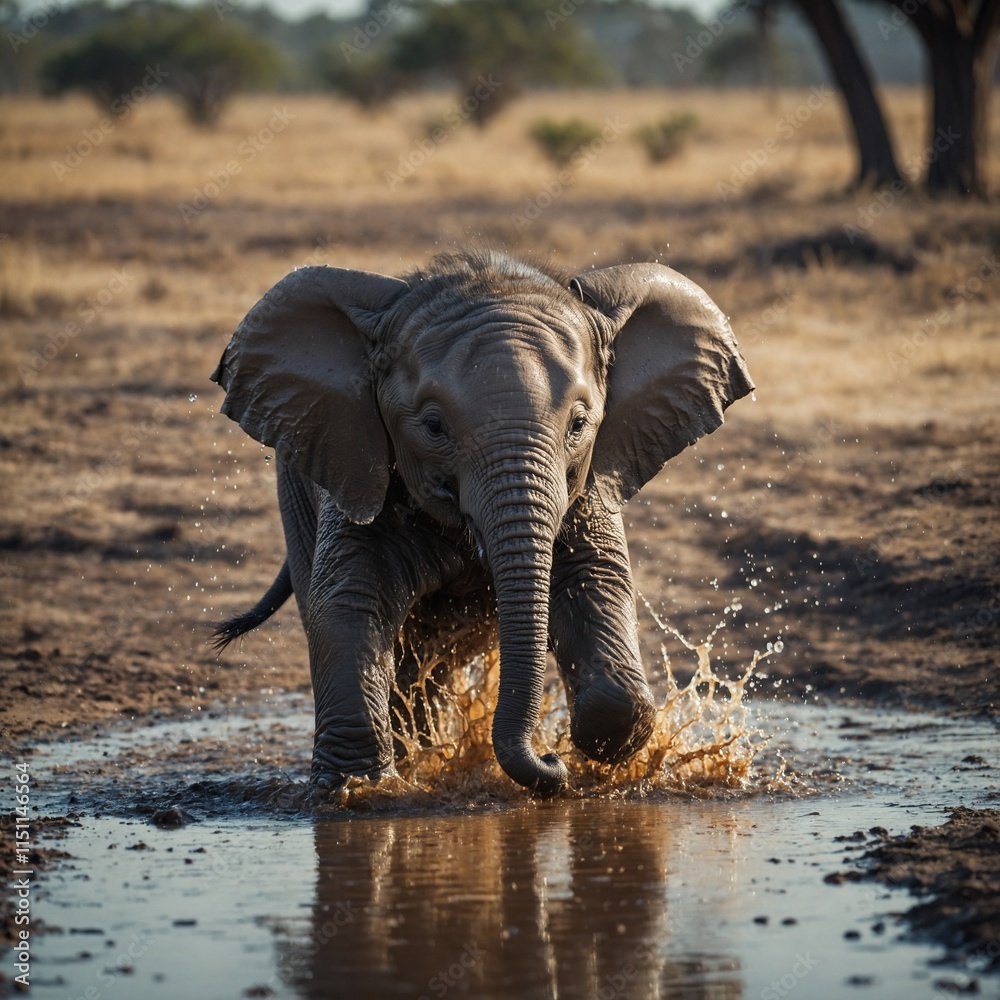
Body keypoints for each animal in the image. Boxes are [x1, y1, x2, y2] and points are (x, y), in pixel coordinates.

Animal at [210, 249, 753, 797]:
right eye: (434, 426)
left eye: (579, 425)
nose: (549, 756)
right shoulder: (356, 468)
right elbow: (346, 601)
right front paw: (356, 790)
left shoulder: (588, 485)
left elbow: (595, 583)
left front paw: (590, 762)